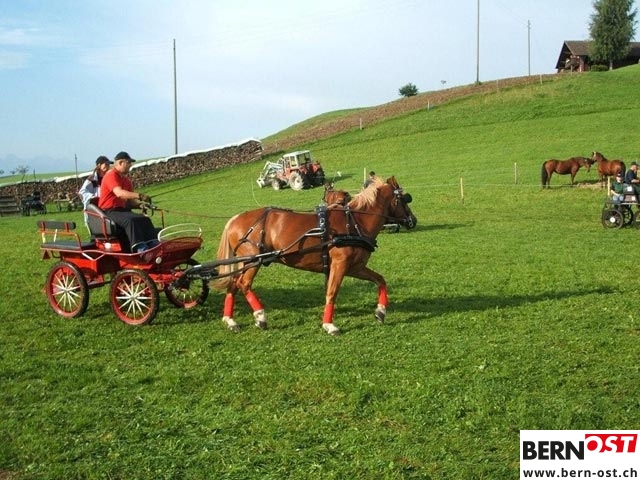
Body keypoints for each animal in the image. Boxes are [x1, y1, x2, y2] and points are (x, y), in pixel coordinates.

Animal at [211, 176, 417, 335]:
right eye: (405, 199)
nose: (413, 220)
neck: (355, 222)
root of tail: (235, 219)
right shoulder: (340, 265)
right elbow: (332, 292)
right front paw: (329, 324)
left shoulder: (355, 267)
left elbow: (380, 280)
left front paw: (381, 311)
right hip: (254, 261)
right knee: (244, 284)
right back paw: (260, 316)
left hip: (244, 262)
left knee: (233, 284)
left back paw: (230, 320)